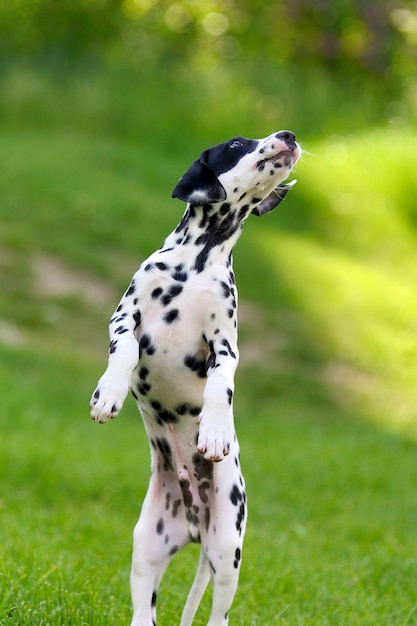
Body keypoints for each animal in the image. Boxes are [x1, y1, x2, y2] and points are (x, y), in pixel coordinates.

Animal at [89, 129, 300, 620]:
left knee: (218, 615)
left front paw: (216, 432)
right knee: (144, 612)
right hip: (146, 547)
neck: (197, 263)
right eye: (238, 143)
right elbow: (124, 350)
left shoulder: (224, 345)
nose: (288, 136)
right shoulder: (126, 316)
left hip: (226, 551)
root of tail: (192, 523)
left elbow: (222, 387)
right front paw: (109, 393)